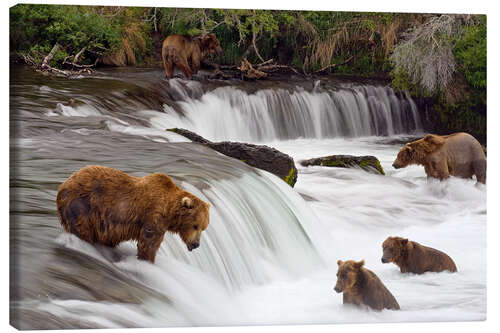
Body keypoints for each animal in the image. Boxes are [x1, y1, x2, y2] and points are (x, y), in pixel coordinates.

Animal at [55, 164, 210, 262]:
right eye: (195, 225)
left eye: (203, 228)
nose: (196, 244)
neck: (169, 212)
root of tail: (63, 185)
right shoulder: (153, 217)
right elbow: (149, 243)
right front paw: (147, 260)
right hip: (82, 205)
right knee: (82, 229)